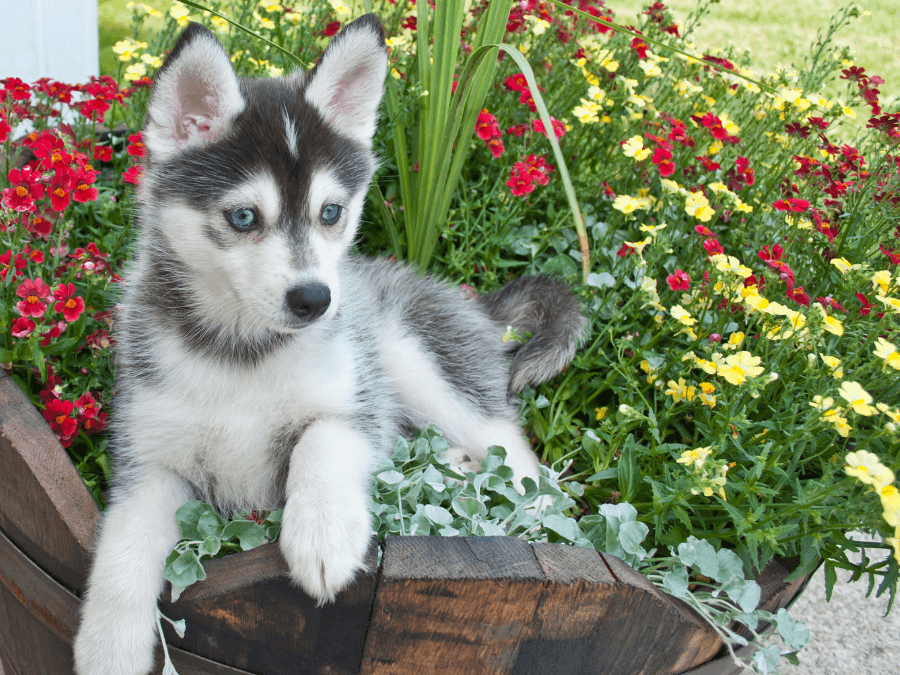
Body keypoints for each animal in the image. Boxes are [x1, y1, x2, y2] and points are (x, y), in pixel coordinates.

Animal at [74, 15, 588, 675]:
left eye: (331, 212)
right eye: (244, 217)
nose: (315, 299)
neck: (243, 352)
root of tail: (472, 302)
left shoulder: (355, 401)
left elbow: (322, 440)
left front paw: (322, 535)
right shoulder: (151, 457)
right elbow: (122, 547)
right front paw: (107, 645)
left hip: (411, 354)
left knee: (514, 451)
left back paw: (532, 512)